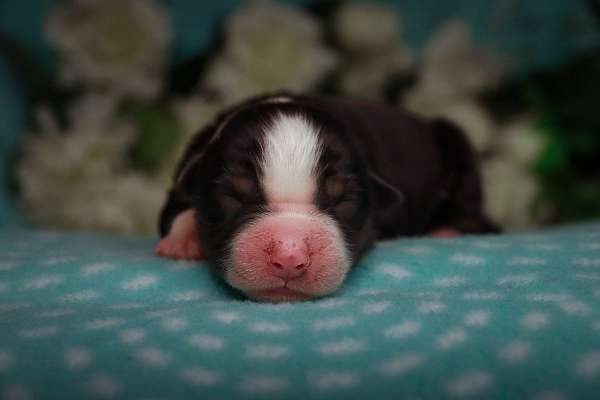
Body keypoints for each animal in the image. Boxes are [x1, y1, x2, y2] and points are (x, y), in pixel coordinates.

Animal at [155, 92, 496, 302]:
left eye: (341, 201)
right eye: (233, 196)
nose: (289, 257)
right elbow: (179, 208)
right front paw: (182, 240)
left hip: (456, 144)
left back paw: (446, 231)